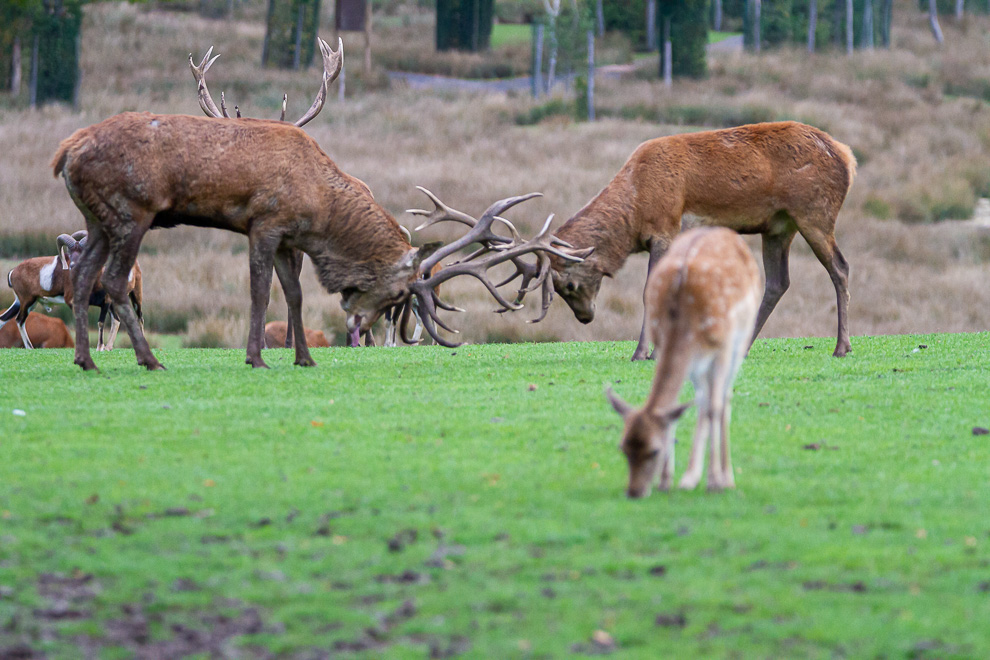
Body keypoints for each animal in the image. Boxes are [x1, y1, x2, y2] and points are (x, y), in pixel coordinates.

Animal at [52, 40, 580, 372]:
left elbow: (295, 296)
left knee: (84, 277)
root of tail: (65, 151)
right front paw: (257, 357)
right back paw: (148, 359)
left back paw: (86, 359)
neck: (323, 207)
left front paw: (303, 356)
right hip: (131, 212)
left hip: (96, 220)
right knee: (114, 283)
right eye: (397, 294)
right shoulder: (265, 223)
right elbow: (260, 293)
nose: (357, 327)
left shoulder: (291, 237)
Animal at [524, 122, 856, 360]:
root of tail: (847, 157)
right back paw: (742, 347)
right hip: (778, 226)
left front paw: (643, 352)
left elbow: (652, 290)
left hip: (815, 214)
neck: (636, 207)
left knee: (840, 267)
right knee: (778, 282)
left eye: (568, 285)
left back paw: (842, 346)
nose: (585, 317)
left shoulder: (665, 228)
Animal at [604, 226, 760, 496]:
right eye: (623, 447)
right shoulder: (667, 345)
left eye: (653, 450)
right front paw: (667, 481)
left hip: (741, 337)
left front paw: (714, 481)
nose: (634, 492)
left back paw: (726, 477)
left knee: (723, 398)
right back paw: (690, 477)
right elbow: (679, 409)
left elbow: (716, 406)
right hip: (699, 364)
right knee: (703, 401)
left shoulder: (722, 347)